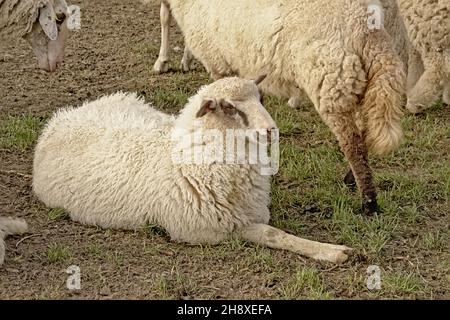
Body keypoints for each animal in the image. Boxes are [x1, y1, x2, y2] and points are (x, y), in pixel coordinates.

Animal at [33, 76, 354, 264]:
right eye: (228, 107)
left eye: (260, 98)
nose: (270, 130)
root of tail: (63, 117)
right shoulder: (214, 231)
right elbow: (274, 234)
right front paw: (332, 252)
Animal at [151, 1, 404, 215]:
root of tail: (369, 33)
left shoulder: (219, 64)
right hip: (360, 85)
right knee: (364, 133)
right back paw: (352, 180)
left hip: (330, 81)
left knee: (353, 144)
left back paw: (369, 203)